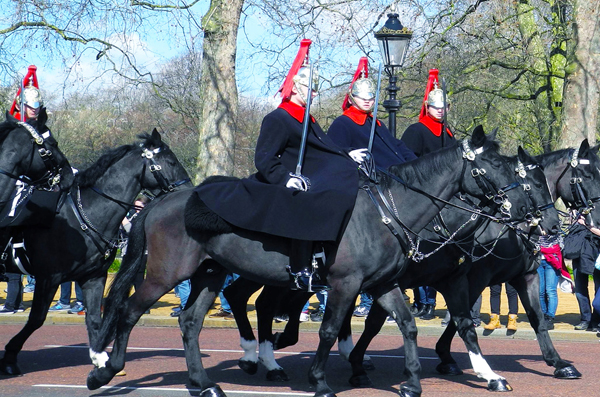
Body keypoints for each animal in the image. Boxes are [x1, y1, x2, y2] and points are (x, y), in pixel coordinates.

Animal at [0, 129, 191, 374]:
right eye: (171, 162)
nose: (189, 193)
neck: (84, 216)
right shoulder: (48, 278)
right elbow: (36, 319)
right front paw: (10, 356)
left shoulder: (93, 277)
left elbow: (93, 319)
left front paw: (100, 357)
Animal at [89, 127, 540, 396]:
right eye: (495, 166)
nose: (527, 213)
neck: (386, 212)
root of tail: (162, 201)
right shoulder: (346, 283)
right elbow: (328, 329)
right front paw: (321, 381)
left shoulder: (384, 284)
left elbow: (409, 325)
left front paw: (412, 382)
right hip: (167, 273)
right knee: (129, 311)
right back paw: (105, 370)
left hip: (208, 274)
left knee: (191, 321)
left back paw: (204, 382)